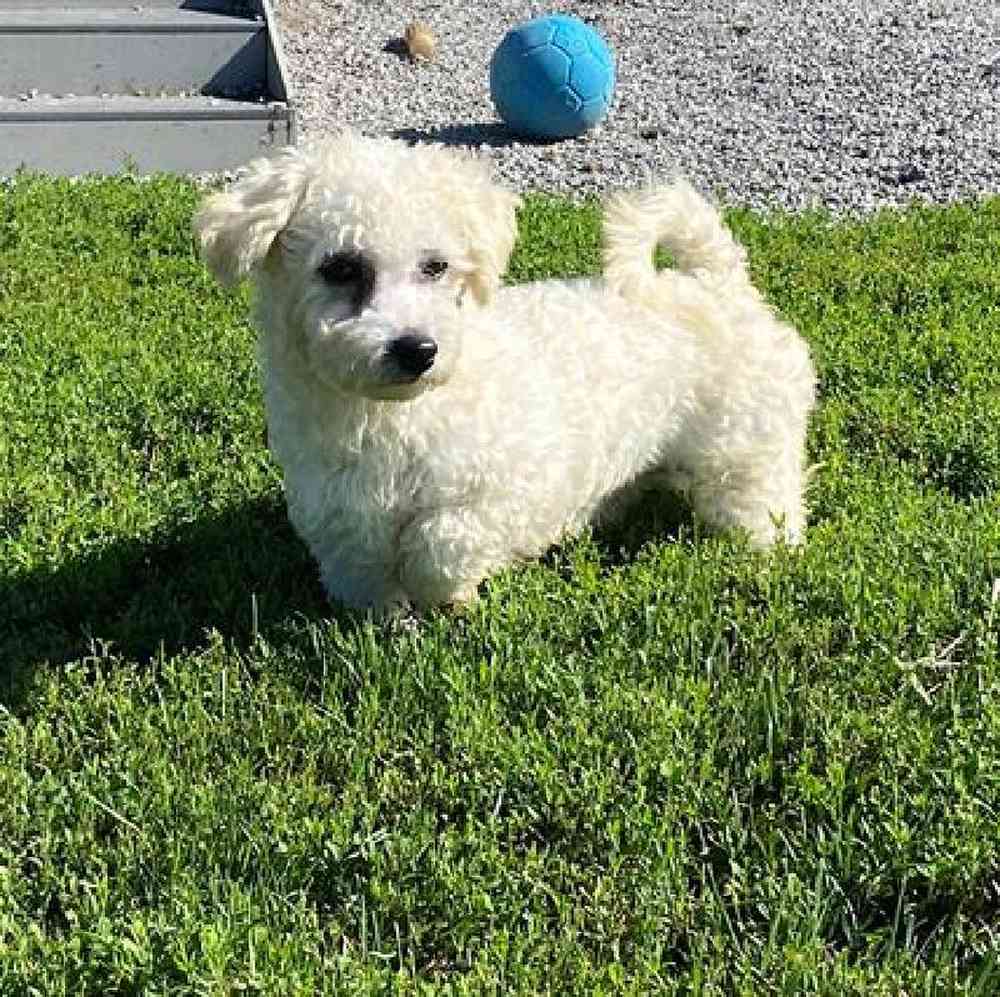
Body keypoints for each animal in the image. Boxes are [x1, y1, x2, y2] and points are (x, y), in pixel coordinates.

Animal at [193, 128, 812, 612]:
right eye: (341, 269)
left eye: (436, 267)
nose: (418, 349)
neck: (397, 416)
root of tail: (718, 281)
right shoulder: (337, 511)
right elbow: (362, 573)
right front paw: (390, 620)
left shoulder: (511, 488)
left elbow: (439, 542)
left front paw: (449, 595)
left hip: (744, 447)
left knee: (763, 499)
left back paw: (765, 554)